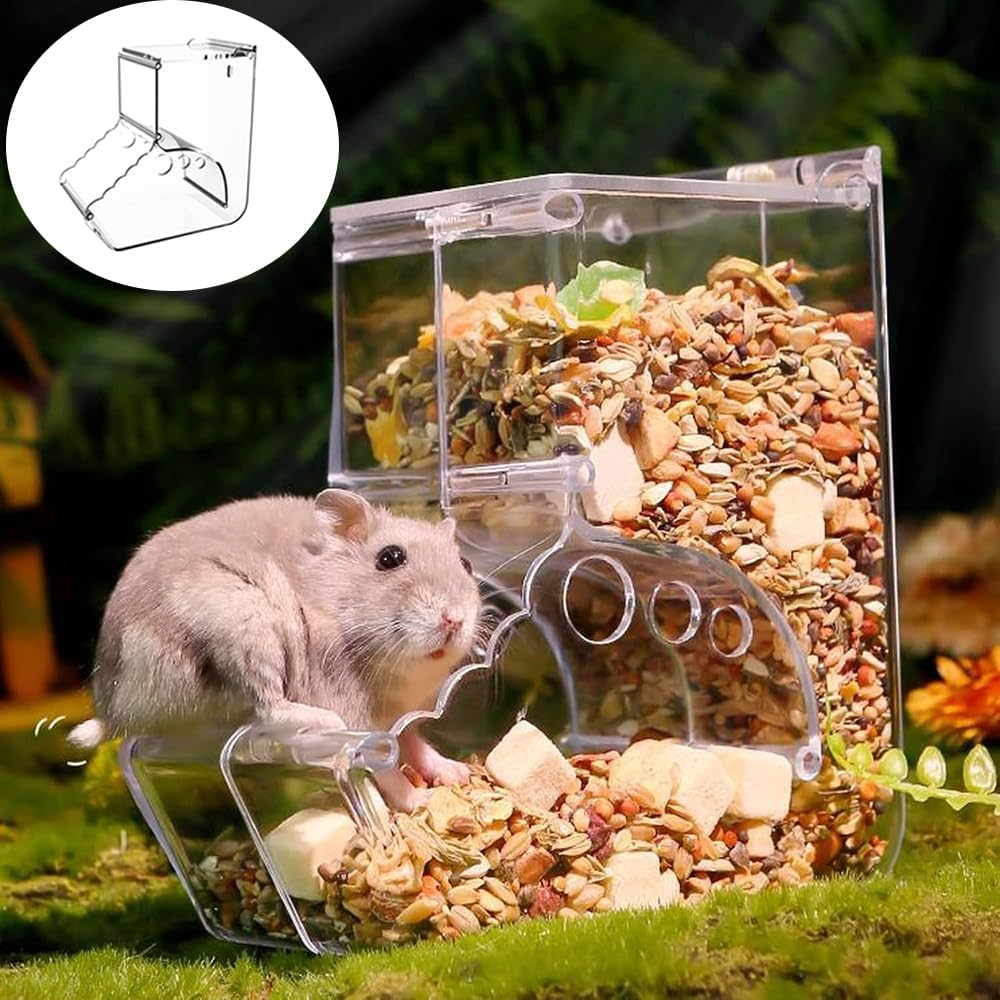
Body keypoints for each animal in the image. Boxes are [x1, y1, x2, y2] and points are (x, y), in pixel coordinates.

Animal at [69, 489, 482, 808]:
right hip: (247, 629)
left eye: (466, 563)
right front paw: (420, 802)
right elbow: (387, 769)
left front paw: (458, 773)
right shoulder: (361, 722)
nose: (454, 620)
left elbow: (415, 743)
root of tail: (112, 710)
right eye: (390, 558)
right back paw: (325, 722)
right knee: (270, 706)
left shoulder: (401, 717)